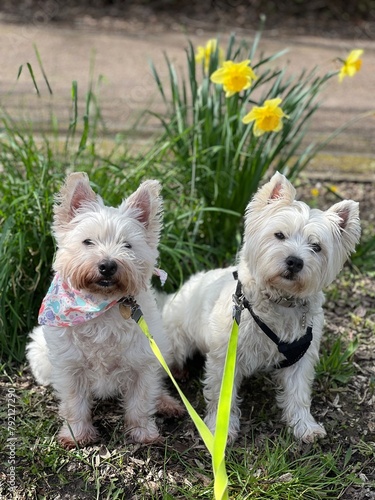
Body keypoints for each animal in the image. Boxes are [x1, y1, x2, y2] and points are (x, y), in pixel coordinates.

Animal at [26, 173, 184, 450]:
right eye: (87, 241)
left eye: (127, 245)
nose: (108, 265)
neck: (100, 306)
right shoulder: (70, 366)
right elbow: (74, 403)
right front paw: (77, 435)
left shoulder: (143, 361)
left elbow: (141, 400)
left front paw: (143, 432)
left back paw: (166, 402)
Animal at [162, 172, 362, 442]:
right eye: (279, 235)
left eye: (316, 247)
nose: (294, 261)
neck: (280, 301)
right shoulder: (225, 356)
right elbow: (220, 395)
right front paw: (220, 430)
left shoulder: (302, 358)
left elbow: (299, 393)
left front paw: (305, 426)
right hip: (175, 343)